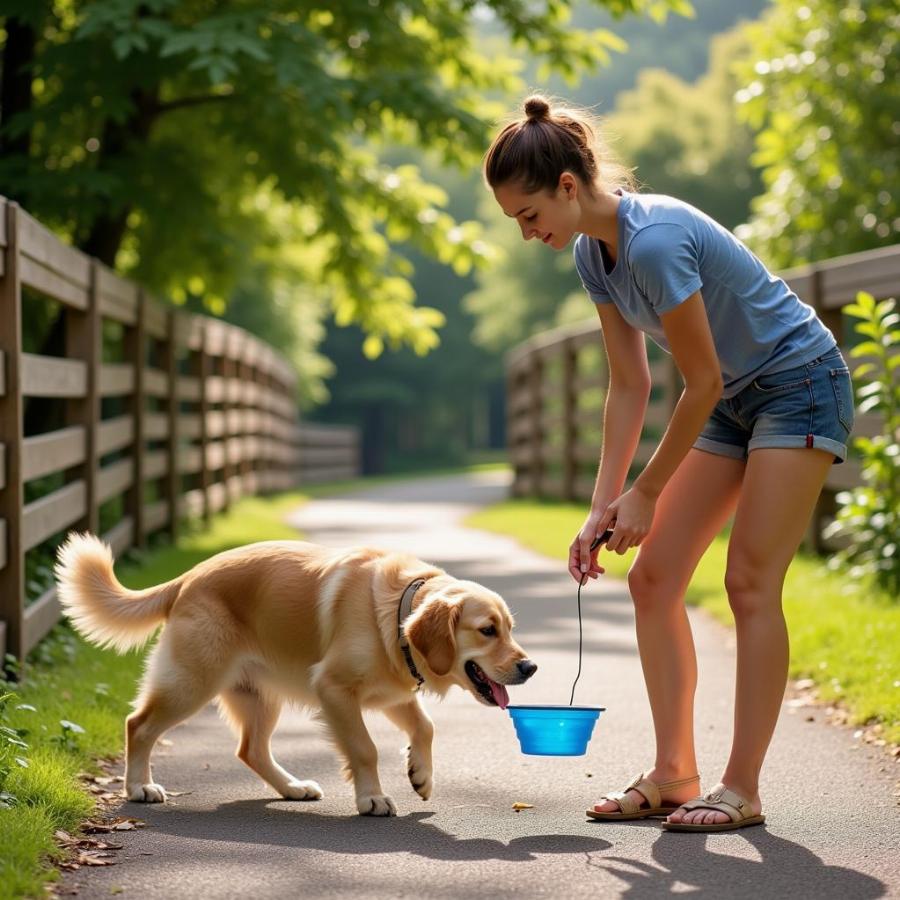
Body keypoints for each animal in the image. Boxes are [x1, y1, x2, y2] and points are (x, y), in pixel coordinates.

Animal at [54, 536, 536, 816]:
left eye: (511, 628)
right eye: (488, 630)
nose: (530, 667)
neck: (392, 609)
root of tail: (188, 578)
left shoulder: (393, 694)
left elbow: (426, 726)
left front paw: (421, 774)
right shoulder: (334, 689)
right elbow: (365, 749)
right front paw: (372, 797)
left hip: (260, 697)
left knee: (250, 750)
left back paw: (292, 788)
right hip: (192, 683)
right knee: (138, 724)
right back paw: (139, 787)